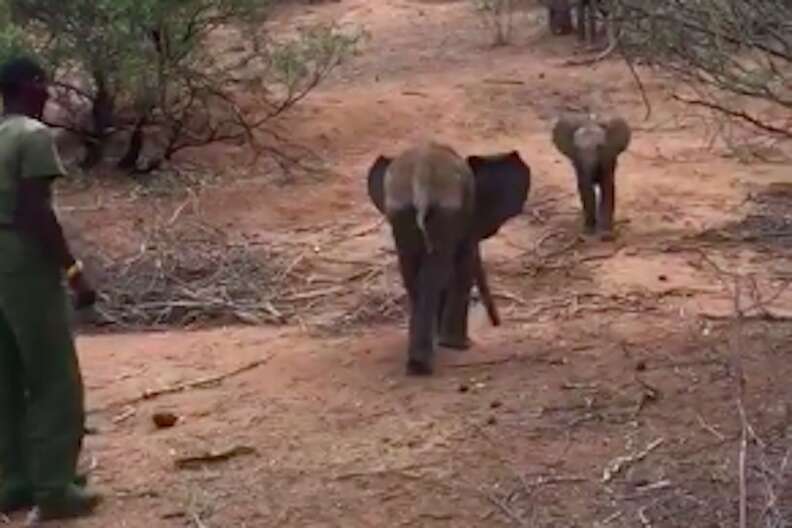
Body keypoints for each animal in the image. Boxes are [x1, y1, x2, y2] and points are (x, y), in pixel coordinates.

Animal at [366, 142, 532, 378]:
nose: (497, 324)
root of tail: (420, 174)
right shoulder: (464, 215)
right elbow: (462, 265)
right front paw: (459, 345)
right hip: (442, 212)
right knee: (436, 271)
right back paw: (423, 365)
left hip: (402, 213)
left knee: (412, 271)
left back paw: (418, 361)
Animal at [552, 114, 632, 242]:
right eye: (576, 148)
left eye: (600, 147)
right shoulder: (578, 163)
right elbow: (585, 189)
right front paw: (587, 233)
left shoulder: (608, 158)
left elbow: (607, 187)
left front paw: (606, 235)